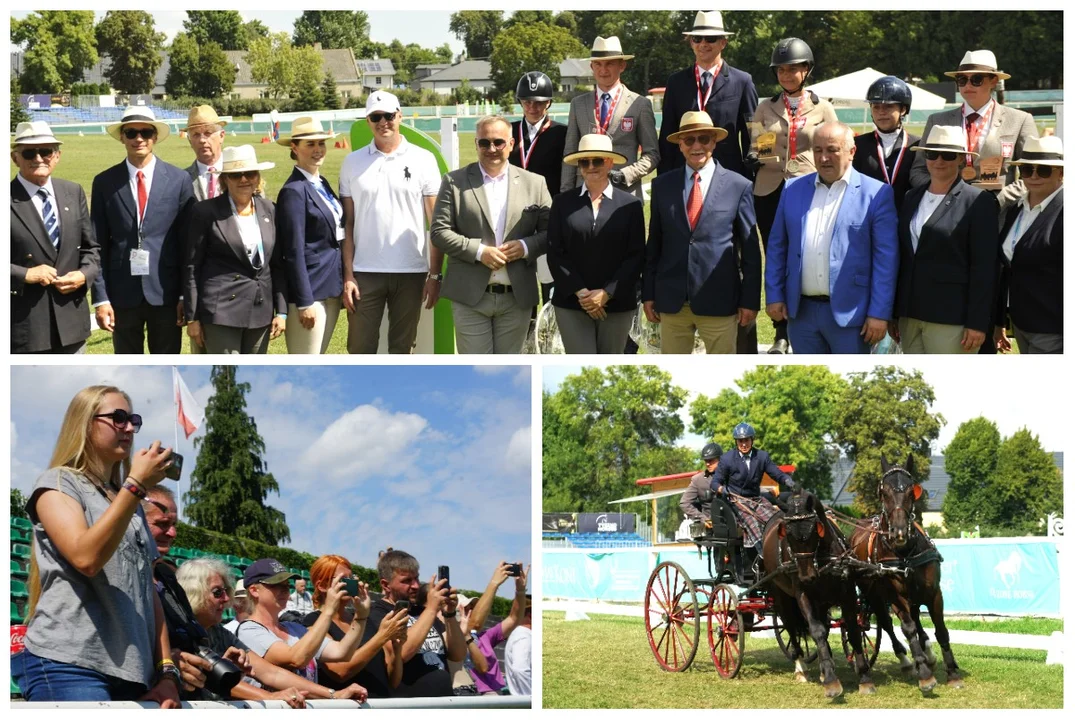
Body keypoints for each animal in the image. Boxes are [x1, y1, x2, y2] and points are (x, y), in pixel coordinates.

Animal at [761, 490, 877, 700]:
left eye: (814, 530)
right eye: (787, 534)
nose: (807, 576)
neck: (822, 559)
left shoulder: (847, 593)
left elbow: (853, 631)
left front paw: (865, 678)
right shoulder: (802, 595)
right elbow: (816, 631)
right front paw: (831, 681)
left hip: (821, 602)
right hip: (781, 595)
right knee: (791, 626)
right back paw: (801, 668)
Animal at [847, 457, 967, 692]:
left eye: (913, 491)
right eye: (883, 492)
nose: (900, 532)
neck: (905, 553)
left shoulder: (934, 593)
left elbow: (941, 629)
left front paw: (952, 672)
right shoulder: (896, 597)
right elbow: (907, 628)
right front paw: (924, 674)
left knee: (915, 619)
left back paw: (928, 652)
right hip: (874, 593)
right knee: (886, 623)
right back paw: (906, 660)